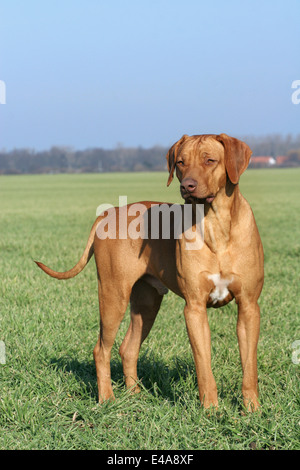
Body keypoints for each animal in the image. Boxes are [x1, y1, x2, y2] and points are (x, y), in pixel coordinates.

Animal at [35, 133, 264, 412]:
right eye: (180, 162)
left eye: (210, 160)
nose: (187, 186)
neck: (216, 224)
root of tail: (108, 212)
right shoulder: (194, 308)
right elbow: (204, 365)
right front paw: (211, 409)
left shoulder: (249, 306)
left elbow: (249, 365)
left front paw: (252, 409)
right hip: (113, 295)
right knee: (101, 349)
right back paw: (107, 398)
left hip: (146, 303)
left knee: (128, 348)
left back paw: (135, 395)